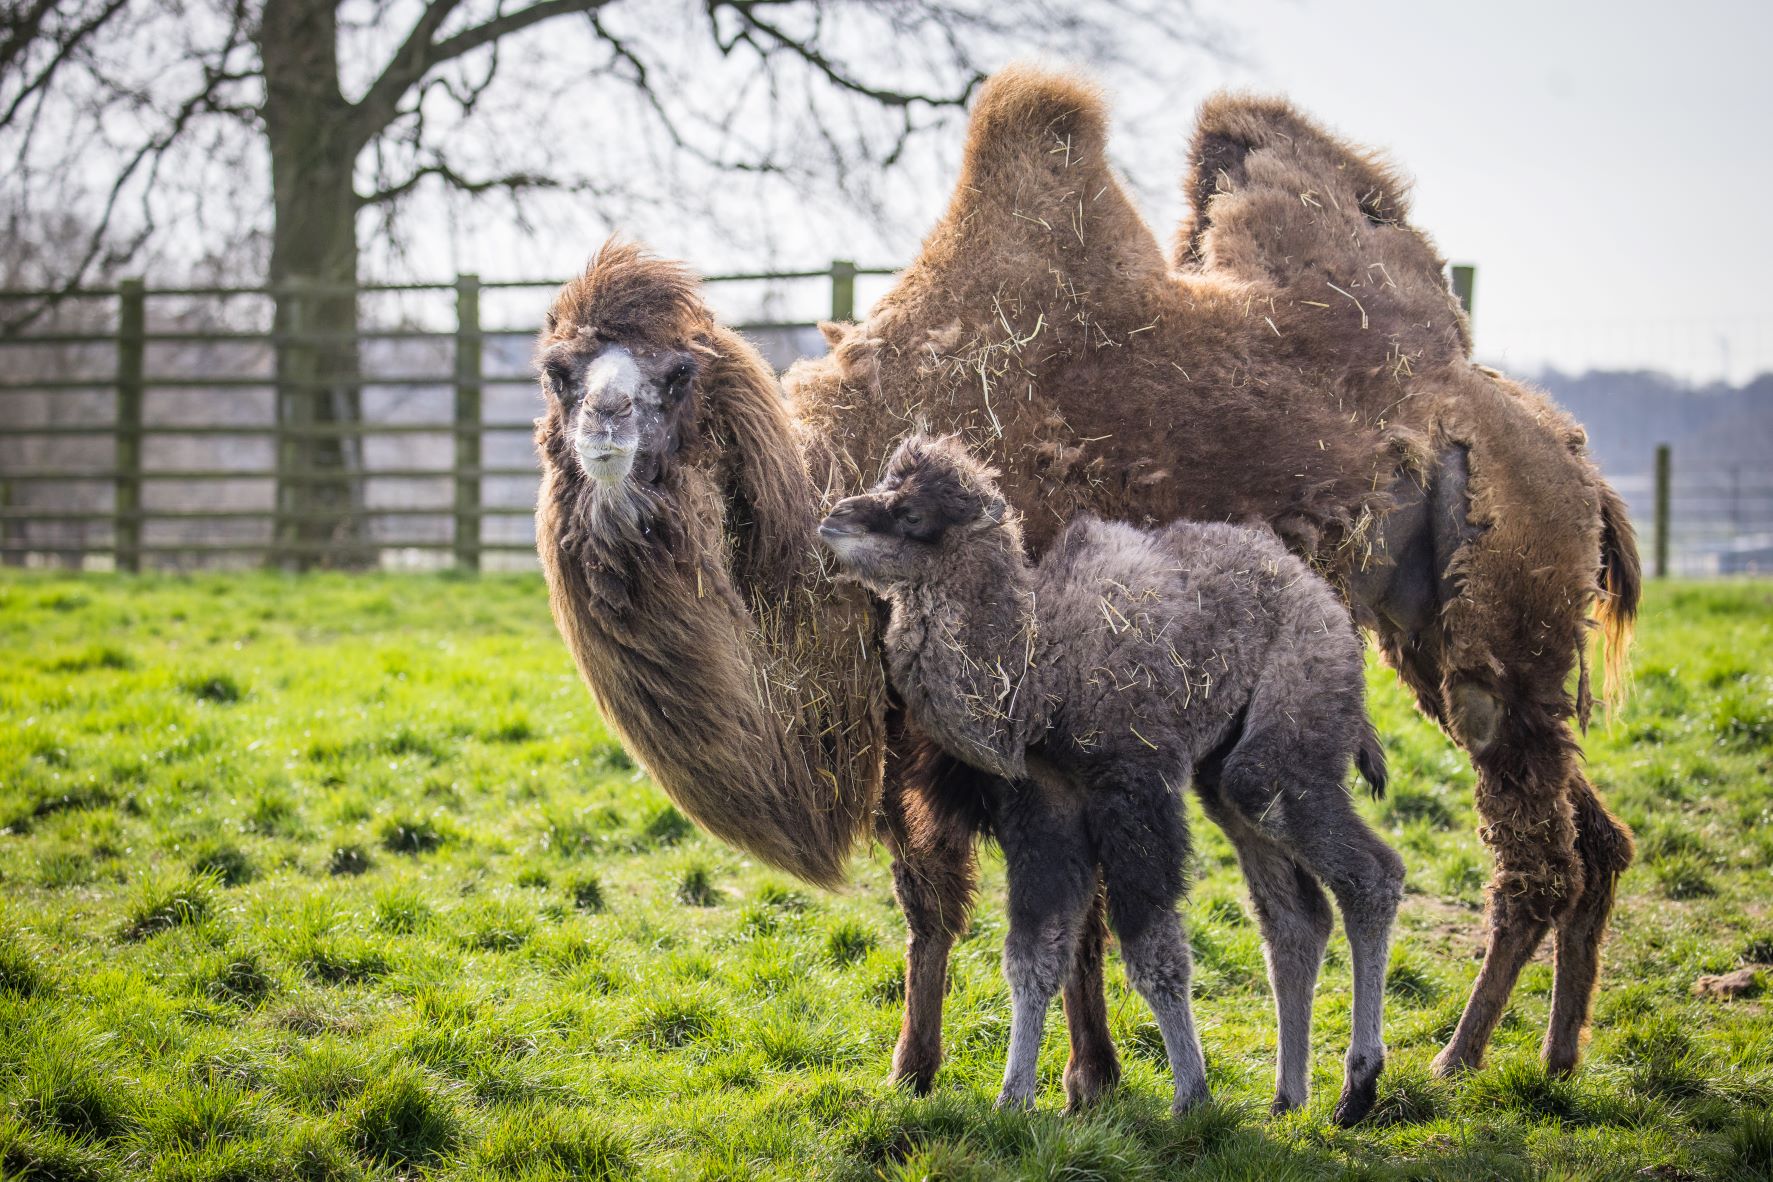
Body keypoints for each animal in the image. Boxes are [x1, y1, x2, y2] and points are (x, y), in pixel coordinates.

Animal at [531, 64, 1638, 1105]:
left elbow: (1076, 912)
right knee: (1593, 834)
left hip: (1504, 599)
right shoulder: (909, 728)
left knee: (1533, 843)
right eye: (557, 368)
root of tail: (1564, 448)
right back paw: (1555, 1055)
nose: (605, 424)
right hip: (1429, 629)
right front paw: (915, 1070)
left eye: (677, 375)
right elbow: (928, 899)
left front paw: (1087, 1078)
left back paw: (1454, 1058)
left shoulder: (1047, 716)